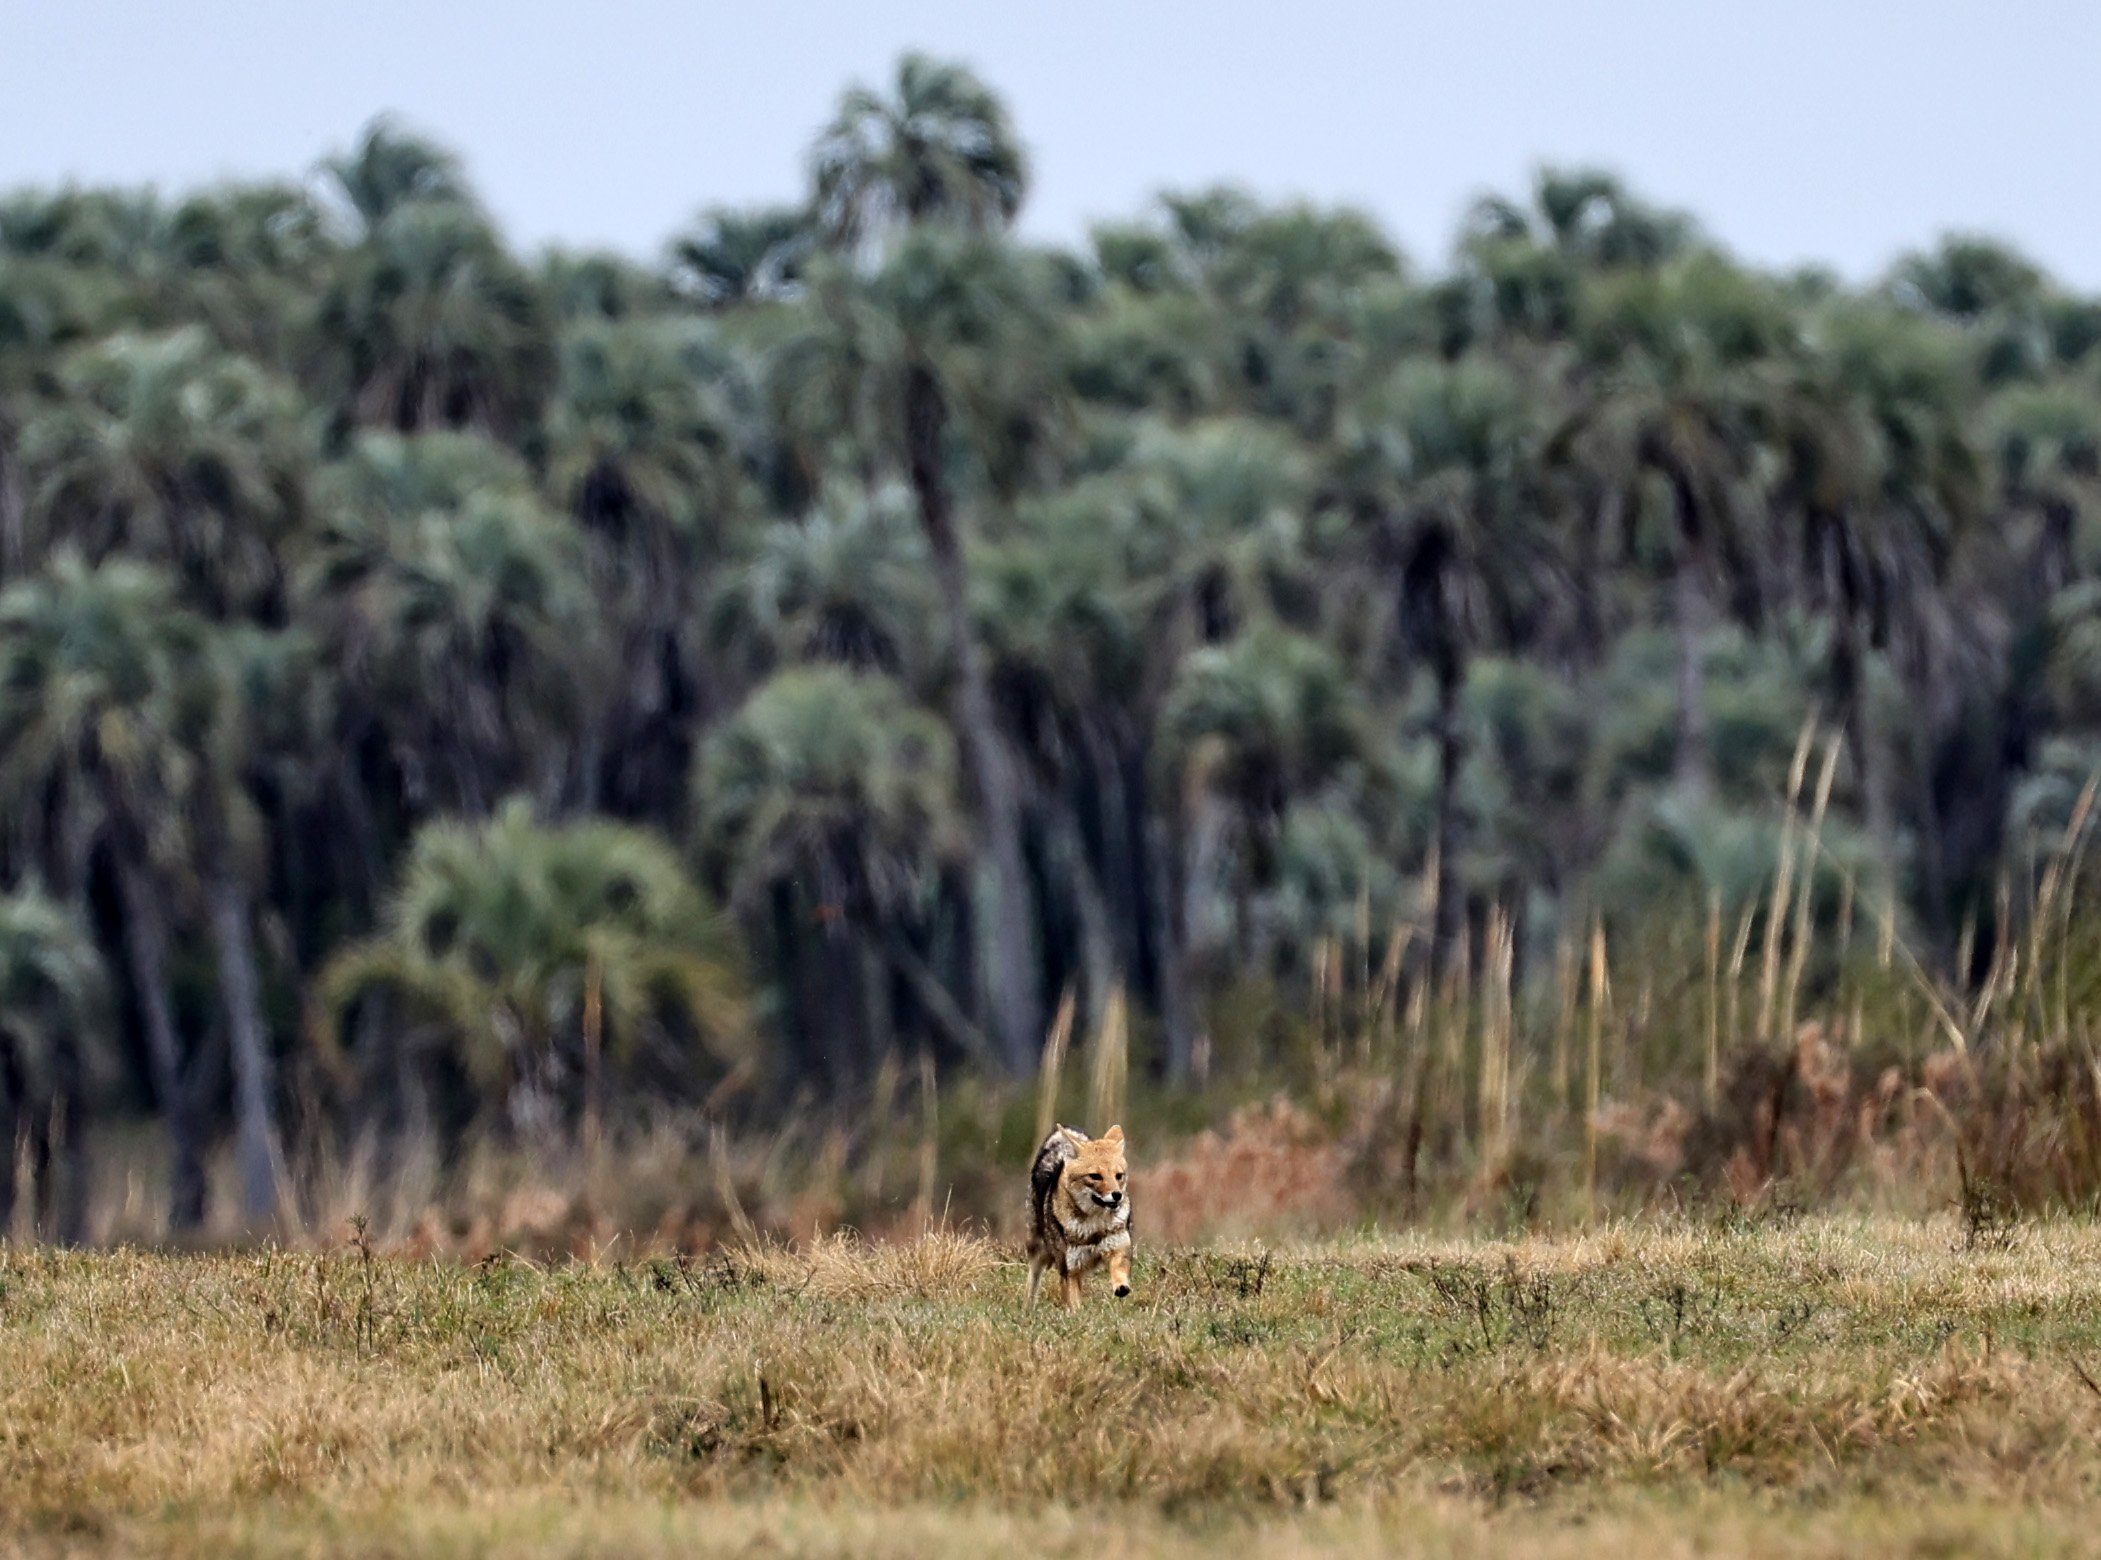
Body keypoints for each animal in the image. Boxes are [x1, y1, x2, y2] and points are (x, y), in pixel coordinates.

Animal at [1026, 1123, 1133, 1308]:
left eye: (1118, 1176)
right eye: (1095, 1176)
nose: (1117, 1195)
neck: (1094, 1227)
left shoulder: (1118, 1248)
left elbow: (1119, 1271)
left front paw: (1121, 1286)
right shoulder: (1070, 1270)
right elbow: (1074, 1304)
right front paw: (1077, 1314)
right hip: (1038, 1252)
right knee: (1032, 1282)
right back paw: (1027, 1309)